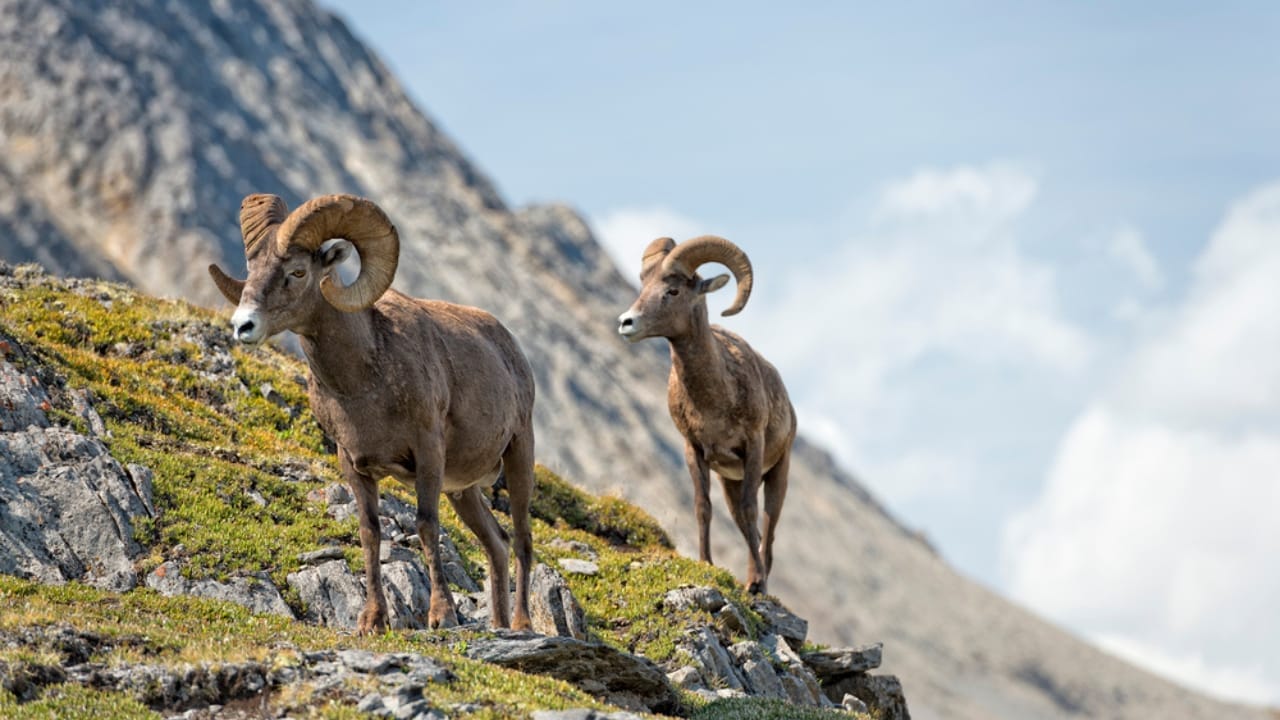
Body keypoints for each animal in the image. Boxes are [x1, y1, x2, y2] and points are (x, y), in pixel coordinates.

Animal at [208, 193, 535, 634]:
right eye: (252, 270)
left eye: (297, 271)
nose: (243, 326)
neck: (364, 381)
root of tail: (509, 346)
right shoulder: (354, 464)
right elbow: (370, 533)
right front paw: (372, 621)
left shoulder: (428, 453)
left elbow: (425, 525)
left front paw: (441, 616)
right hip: (464, 490)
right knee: (496, 545)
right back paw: (500, 626)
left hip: (519, 455)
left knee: (521, 541)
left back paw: (522, 625)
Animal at [617, 236, 796, 595]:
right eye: (644, 284)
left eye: (672, 291)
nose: (626, 322)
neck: (714, 400)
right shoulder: (695, 450)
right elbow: (703, 508)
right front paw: (706, 563)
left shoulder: (753, 446)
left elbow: (751, 510)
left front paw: (756, 583)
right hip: (730, 481)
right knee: (746, 526)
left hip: (777, 472)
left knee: (767, 527)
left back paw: (760, 579)